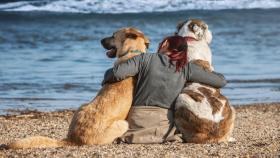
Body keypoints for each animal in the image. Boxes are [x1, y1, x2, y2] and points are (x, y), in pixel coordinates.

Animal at [7, 27, 149, 149]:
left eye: (113, 35)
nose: (100, 40)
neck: (133, 52)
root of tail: (73, 140)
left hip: (84, 107)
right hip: (123, 123)